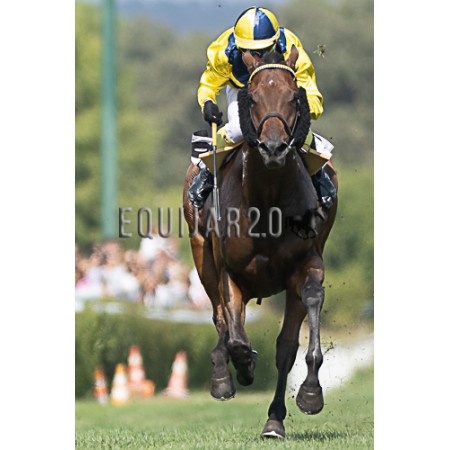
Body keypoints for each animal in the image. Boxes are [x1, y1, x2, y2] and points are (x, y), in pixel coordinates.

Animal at [183, 45, 338, 439]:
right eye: (251, 98)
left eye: (294, 96)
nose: (273, 148)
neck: (267, 202)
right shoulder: (229, 270)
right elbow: (235, 335)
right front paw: (238, 368)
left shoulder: (307, 263)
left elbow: (299, 326)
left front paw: (309, 394)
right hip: (201, 256)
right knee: (220, 318)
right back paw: (223, 374)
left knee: (283, 347)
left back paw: (274, 417)